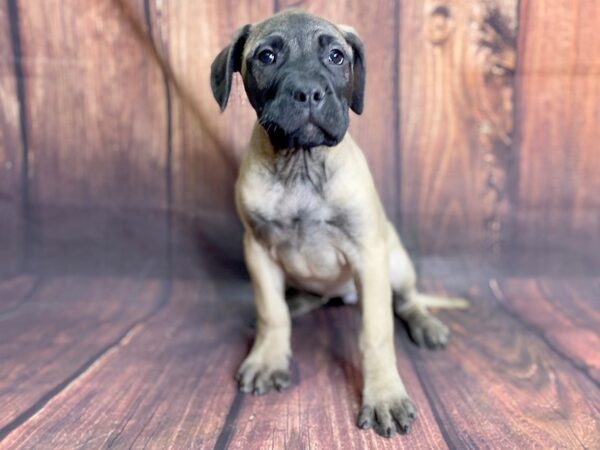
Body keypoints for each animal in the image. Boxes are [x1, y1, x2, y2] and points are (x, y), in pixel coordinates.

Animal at [211, 8, 468, 438]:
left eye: (336, 56)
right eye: (266, 57)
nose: (309, 92)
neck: (301, 164)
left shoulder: (368, 254)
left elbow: (376, 333)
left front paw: (383, 394)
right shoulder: (258, 249)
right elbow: (271, 311)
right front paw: (268, 357)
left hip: (395, 263)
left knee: (407, 300)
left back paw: (425, 324)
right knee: (305, 299)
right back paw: (297, 303)